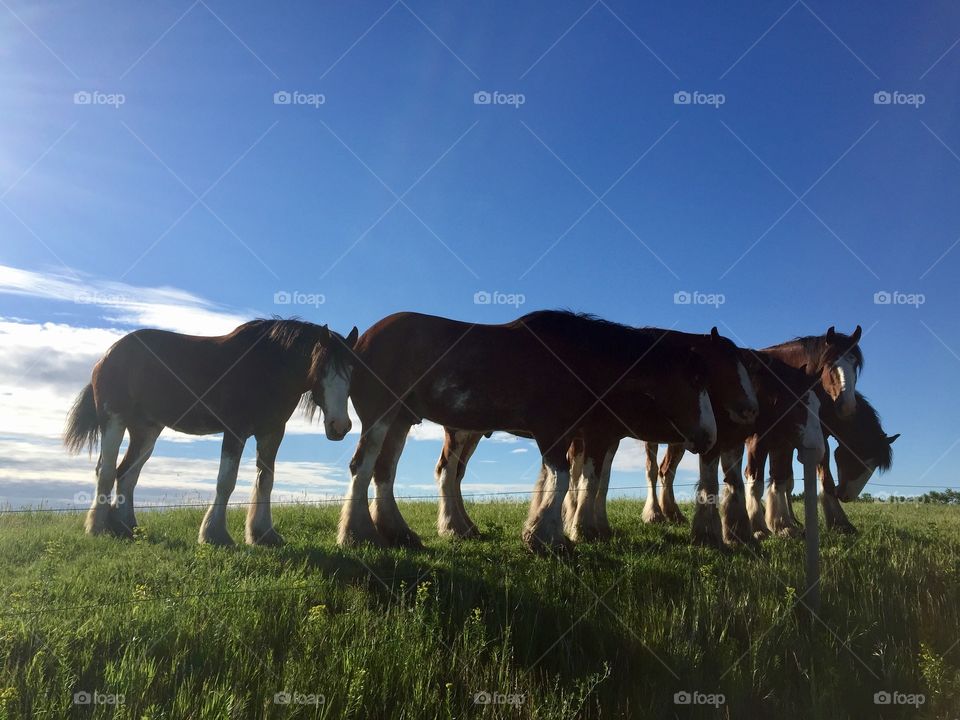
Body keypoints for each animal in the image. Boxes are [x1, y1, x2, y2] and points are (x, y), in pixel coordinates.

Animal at [64, 319, 359, 546]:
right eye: (321, 369)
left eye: (352, 371)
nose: (340, 426)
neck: (267, 367)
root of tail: (108, 355)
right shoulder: (235, 431)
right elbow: (226, 482)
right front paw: (214, 534)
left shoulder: (272, 433)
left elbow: (266, 481)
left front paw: (263, 534)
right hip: (114, 419)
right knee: (106, 470)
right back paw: (97, 527)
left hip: (146, 430)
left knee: (127, 474)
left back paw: (128, 528)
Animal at [340, 310, 720, 553]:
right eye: (693, 380)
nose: (709, 437)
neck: (576, 358)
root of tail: (361, 342)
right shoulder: (556, 431)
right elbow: (565, 479)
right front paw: (548, 537)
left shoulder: (568, 435)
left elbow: (558, 481)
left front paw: (548, 530)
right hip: (383, 416)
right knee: (365, 466)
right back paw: (358, 534)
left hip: (404, 421)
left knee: (388, 472)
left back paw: (405, 532)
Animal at [432, 326, 760, 542]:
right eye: (722, 365)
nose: (751, 409)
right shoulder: (593, 434)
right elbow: (587, 479)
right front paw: (580, 527)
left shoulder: (605, 436)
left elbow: (598, 479)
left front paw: (590, 524)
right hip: (460, 433)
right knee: (447, 471)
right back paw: (454, 527)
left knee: (456, 474)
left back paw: (464, 525)